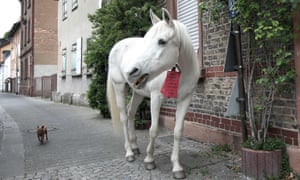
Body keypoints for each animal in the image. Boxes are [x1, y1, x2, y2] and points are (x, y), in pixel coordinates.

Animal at [106, 8, 200, 179]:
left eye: (162, 41)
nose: (131, 71)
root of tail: (116, 46)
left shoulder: (185, 99)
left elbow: (178, 131)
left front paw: (177, 167)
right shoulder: (156, 98)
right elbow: (154, 129)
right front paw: (149, 160)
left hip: (138, 93)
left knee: (131, 113)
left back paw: (135, 147)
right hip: (119, 87)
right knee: (124, 117)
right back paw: (129, 152)